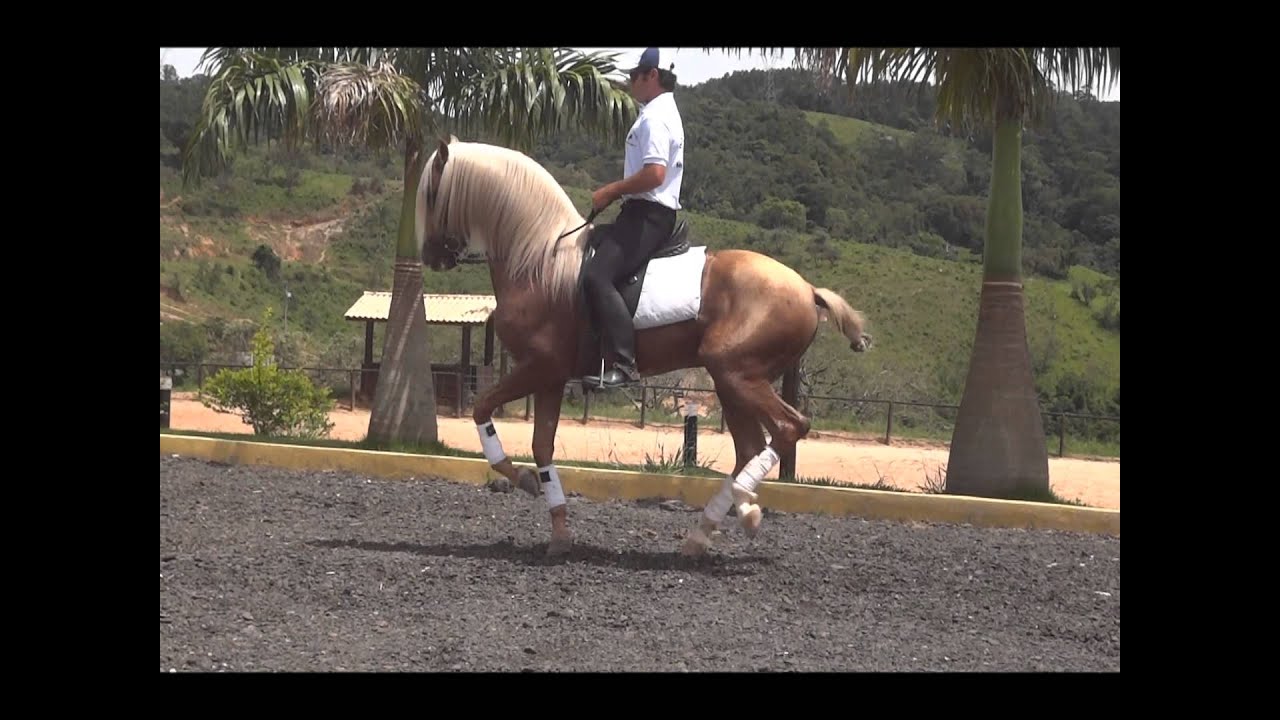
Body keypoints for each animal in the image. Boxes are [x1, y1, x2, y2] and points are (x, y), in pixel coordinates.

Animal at [415, 136, 872, 557]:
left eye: (433, 193)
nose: (431, 257)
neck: (540, 261)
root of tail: (807, 289)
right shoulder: (550, 377)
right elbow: (541, 445)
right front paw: (559, 530)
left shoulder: (538, 367)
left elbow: (482, 410)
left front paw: (525, 482)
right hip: (732, 380)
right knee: (751, 448)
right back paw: (709, 529)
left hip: (736, 373)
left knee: (788, 428)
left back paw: (743, 508)